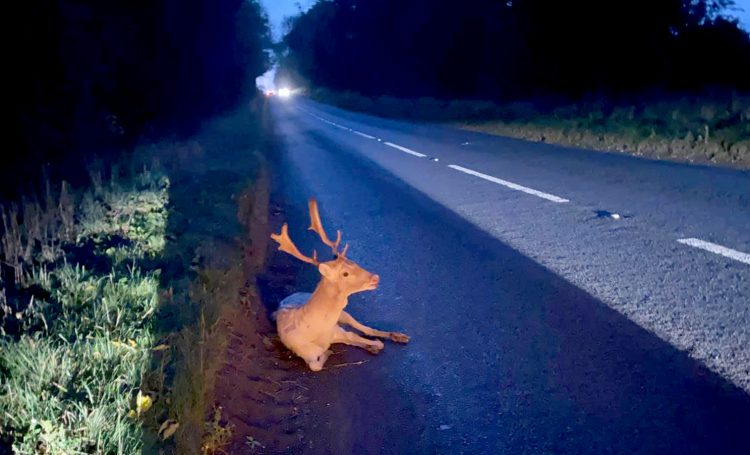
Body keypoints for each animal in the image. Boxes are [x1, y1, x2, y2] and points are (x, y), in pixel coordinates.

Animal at [270, 199, 409, 371]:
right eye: (345, 274)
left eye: (353, 261)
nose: (375, 278)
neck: (316, 331)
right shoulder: (306, 352)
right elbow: (316, 366)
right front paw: (329, 351)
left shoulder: (336, 330)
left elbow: (359, 336)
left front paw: (375, 344)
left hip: (345, 314)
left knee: (365, 329)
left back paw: (400, 336)